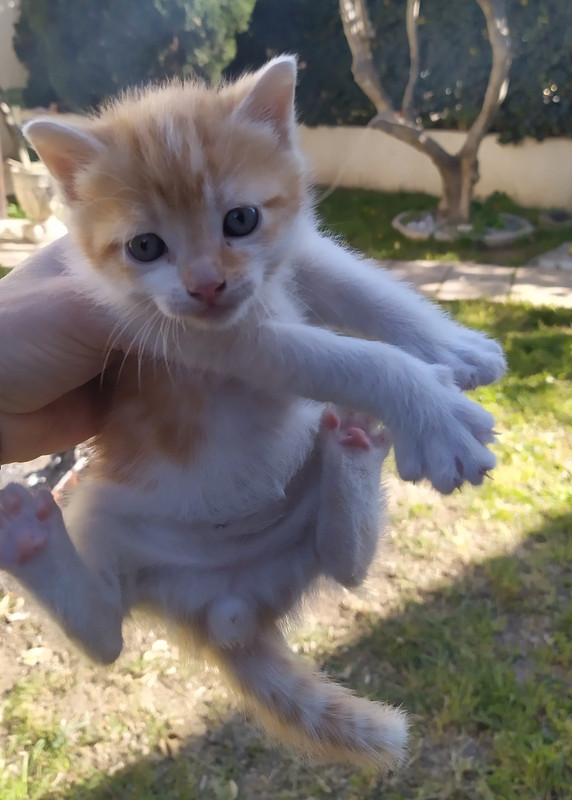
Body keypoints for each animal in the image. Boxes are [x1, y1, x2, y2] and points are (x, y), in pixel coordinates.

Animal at [0, 56, 504, 768]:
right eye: (145, 247)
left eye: (240, 220)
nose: (206, 285)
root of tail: (229, 612)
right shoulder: (206, 340)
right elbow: (346, 357)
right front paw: (436, 417)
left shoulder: (294, 253)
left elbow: (358, 282)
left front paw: (458, 348)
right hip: (101, 519)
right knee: (106, 634)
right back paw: (30, 540)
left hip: (296, 537)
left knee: (346, 567)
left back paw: (353, 449)